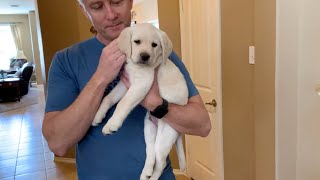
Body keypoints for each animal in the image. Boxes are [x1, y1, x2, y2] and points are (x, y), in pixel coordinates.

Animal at [92, 23, 188, 180]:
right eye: (136, 42)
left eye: (154, 45)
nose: (145, 56)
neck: (135, 66)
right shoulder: (125, 83)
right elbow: (108, 98)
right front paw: (98, 116)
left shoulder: (142, 83)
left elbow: (123, 103)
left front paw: (112, 124)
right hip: (149, 129)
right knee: (150, 152)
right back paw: (146, 173)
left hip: (165, 135)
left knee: (160, 162)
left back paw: (152, 176)